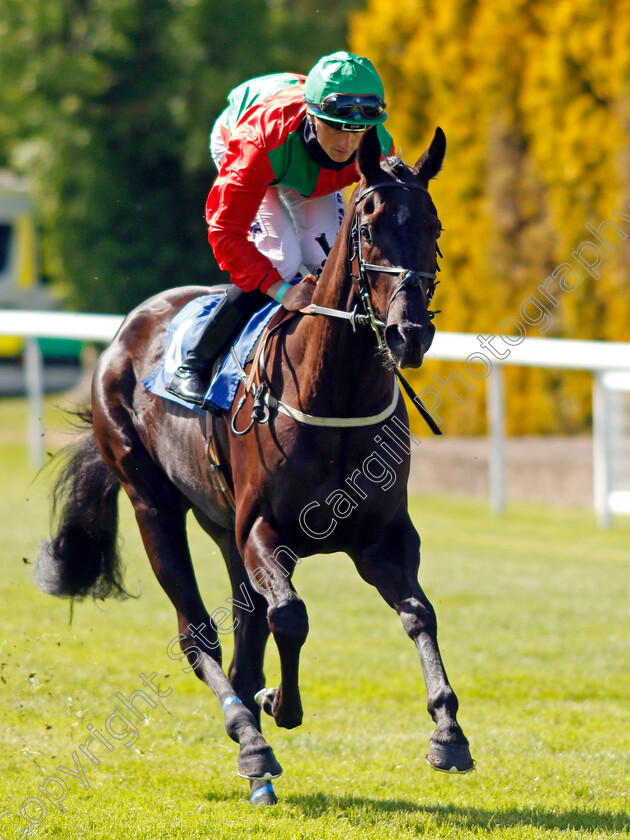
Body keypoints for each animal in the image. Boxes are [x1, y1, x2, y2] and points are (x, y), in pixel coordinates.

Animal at [37, 126, 474, 808]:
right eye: (369, 226)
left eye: (434, 226)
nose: (410, 334)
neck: (334, 395)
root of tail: (123, 336)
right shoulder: (263, 530)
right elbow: (290, 616)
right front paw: (281, 707)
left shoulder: (381, 537)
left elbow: (418, 613)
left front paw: (448, 733)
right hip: (152, 502)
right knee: (199, 635)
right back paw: (250, 741)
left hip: (221, 526)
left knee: (243, 636)